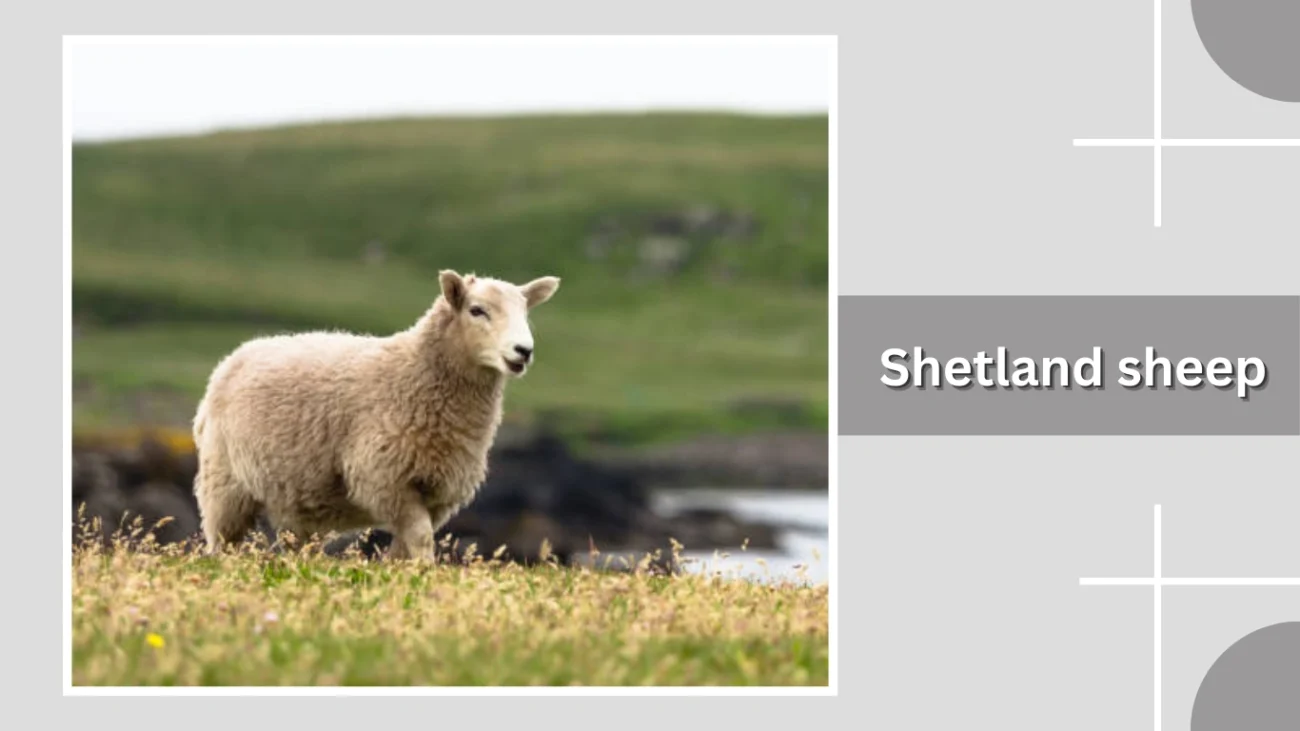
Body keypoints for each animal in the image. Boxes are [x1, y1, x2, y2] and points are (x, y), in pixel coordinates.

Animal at [190, 269, 561, 560]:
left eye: (525, 313)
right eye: (477, 310)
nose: (523, 351)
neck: (415, 373)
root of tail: (236, 355)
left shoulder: (435, 491)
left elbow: (407, 544)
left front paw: (404, 572)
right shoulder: (386, 478)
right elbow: (421, 538)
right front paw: (425, 573)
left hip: (293, 497)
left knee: (297, 545)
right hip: (224, 482)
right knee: (222, 541)